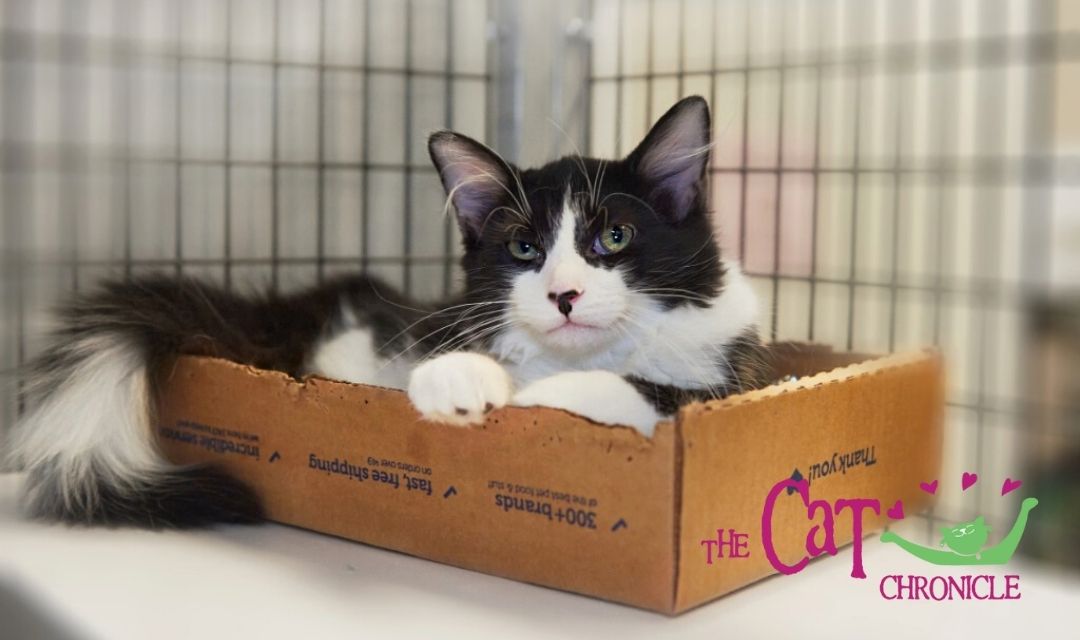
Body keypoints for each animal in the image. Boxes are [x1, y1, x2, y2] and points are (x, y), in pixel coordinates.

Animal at [6, 93, 768, 524]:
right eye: (524, 247)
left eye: (614, 237)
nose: (564, 294)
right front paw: (459, 384)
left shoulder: (731, 377)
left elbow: (638, 389)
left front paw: (534, 400)